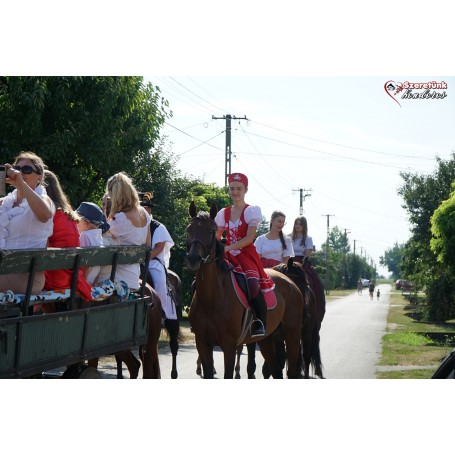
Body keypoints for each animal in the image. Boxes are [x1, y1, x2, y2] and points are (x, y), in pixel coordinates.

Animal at [185, 203, 306, 382]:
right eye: (189, 229)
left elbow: (229, 373)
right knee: (276, 370)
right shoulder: (202, 343)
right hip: (267, 339)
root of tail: (291, 283)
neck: (212, 298)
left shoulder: (228, 345)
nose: (193, 259)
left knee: (291, 372)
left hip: (292, 334)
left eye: (211, 231)